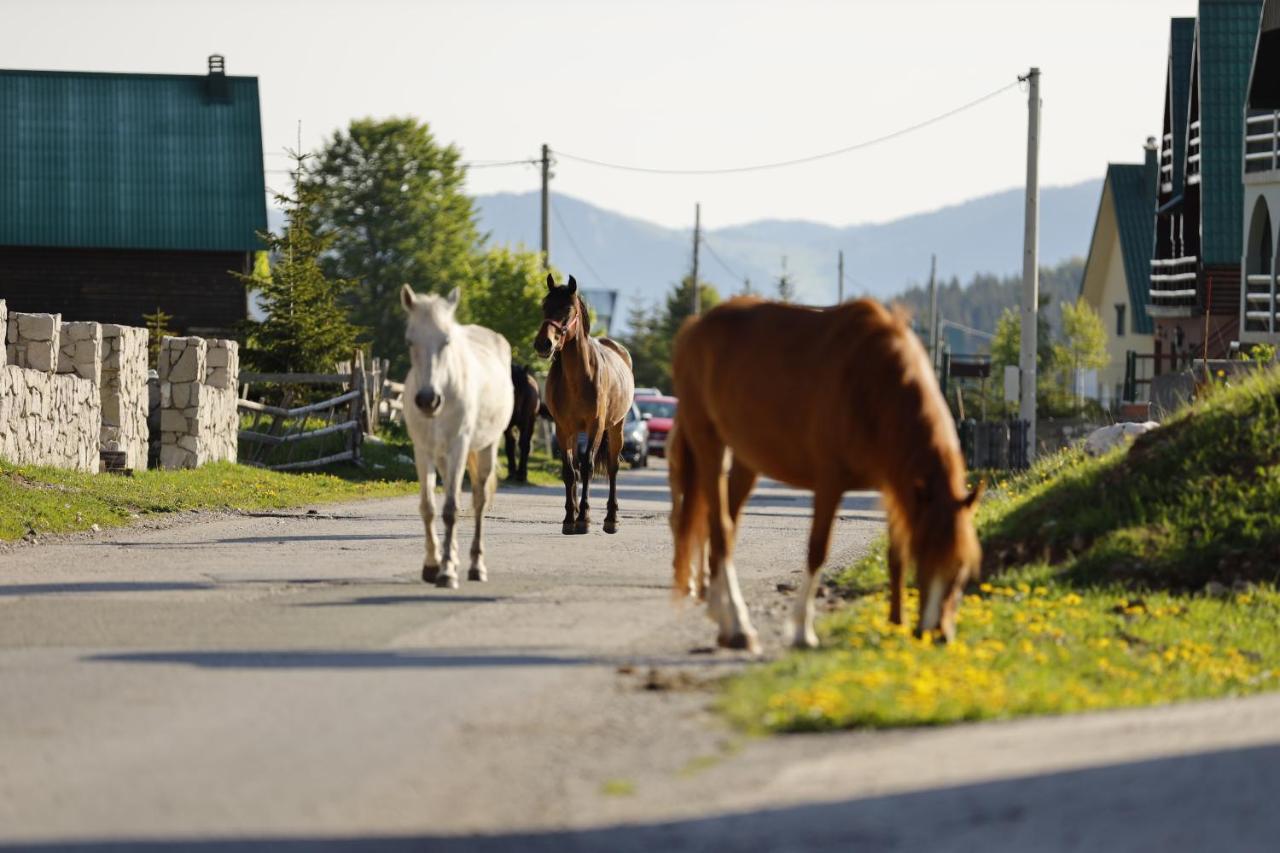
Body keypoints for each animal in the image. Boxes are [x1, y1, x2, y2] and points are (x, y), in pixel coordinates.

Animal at [404, 284, 514, 584]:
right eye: (410, 342)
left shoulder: (459, 447)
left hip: (486, 447)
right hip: (443, 457)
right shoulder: (423, 450)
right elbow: (429, 507)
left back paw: (476, 567)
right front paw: (434, 565)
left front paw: (446, 574)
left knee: (479, 500)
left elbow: (451, 510)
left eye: (446, 341)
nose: (428, 400)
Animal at [532, 272, 632, 532]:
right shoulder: (562, 427)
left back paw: (611, 518)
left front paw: (584, 518)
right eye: (544, 306)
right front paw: (570, 518)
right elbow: (570, 471)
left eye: (567, 309)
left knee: (612, 467)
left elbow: (587, 466)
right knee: (576, 466)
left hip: (616, 427)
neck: (578, 377)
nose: (543, 344)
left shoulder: (596, 425)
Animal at [670, 295, 977, 648]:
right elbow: (817, 551)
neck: (872, 383)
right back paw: (739, 626)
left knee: (725, 528)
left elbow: (896, 553)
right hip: (709, 445)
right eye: (924, 559)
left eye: (961, 568)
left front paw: (895, 624)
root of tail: (695, 327)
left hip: (746, 460)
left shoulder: (895, 486)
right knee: (721, 530)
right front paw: (802, 630)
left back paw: (722, 620)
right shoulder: (830, 483)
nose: (937, 634)